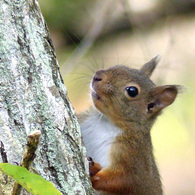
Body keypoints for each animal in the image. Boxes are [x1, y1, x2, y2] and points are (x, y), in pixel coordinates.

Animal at [77, 55, 180, 194]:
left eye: (132, 91)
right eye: (120, 66)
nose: (97, 75)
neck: (105, 122)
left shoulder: (134, 156)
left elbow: (125, 180)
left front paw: (94, 173)